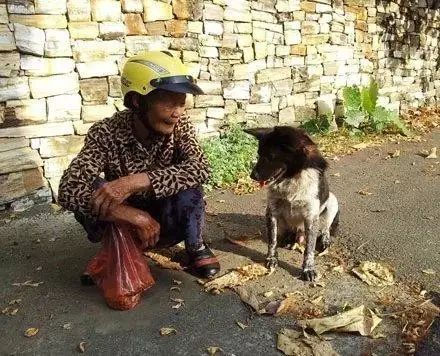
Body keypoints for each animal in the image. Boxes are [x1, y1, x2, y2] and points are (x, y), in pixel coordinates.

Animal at [246, 126, 338, 282]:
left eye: (271, 156)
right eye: (259, 154)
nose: (253, 176)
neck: (291, 178)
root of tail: (298, 234)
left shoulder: (311, 218)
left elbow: (309, 249)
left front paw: (308, 269)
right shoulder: (272, 212)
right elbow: (272, 240)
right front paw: (271, 258)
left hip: (332, 201)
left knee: (325, 228)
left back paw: (325, 241)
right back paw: (288, 240)